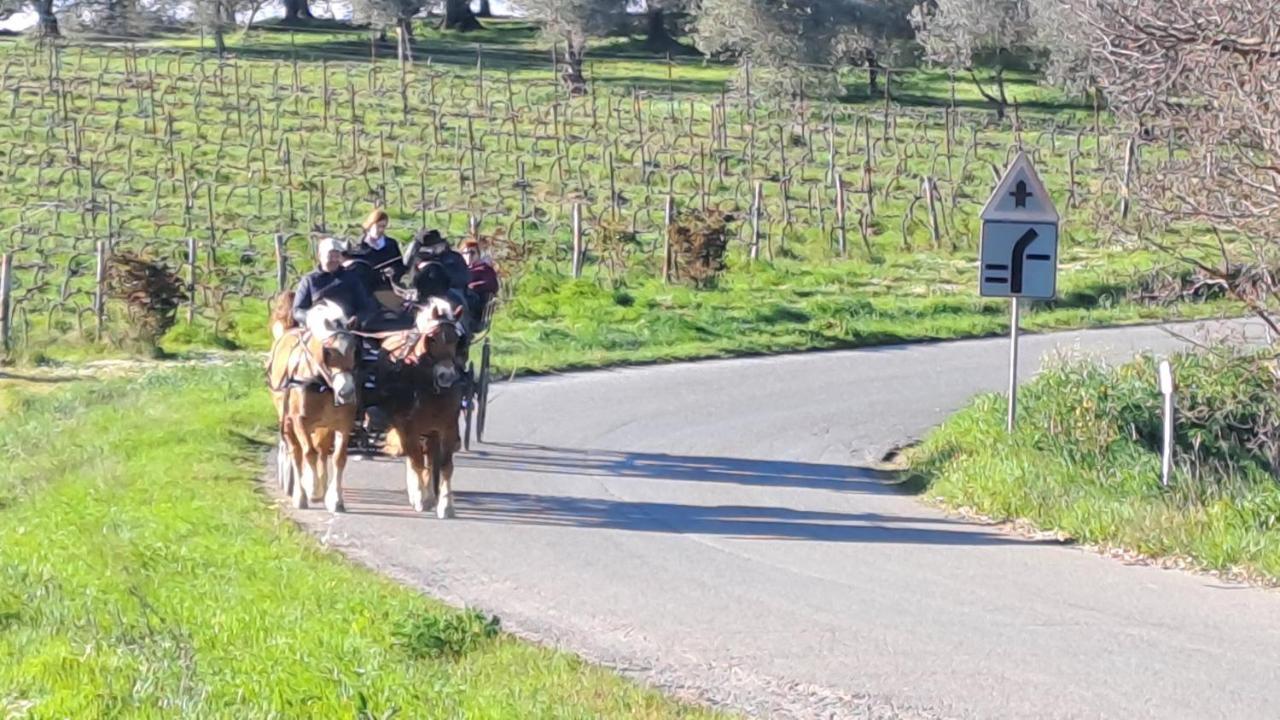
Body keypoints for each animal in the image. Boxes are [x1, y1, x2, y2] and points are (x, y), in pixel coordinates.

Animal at [263, 295, 358, 509]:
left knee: (322, 449)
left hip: (323, 425)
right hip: (286, 418)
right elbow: (308, 453)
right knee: (296, 451)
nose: (346, 392)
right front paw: (309, 490)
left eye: (354, 348)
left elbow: (338, 457)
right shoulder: (300, 421)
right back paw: (302, 490)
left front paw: (335, 498)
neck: (320, 382)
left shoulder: (344, 423)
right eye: (327, 351)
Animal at [376, 297, 468, 515]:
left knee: (430, 457)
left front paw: (445, 504)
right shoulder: (408, 427)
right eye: (432, 338)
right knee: (414, 458)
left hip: (430, 431)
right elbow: (416, 461)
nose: (446, 376)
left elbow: (445, 465)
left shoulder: (448, 427)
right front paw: (420, 498)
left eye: (457, 339)